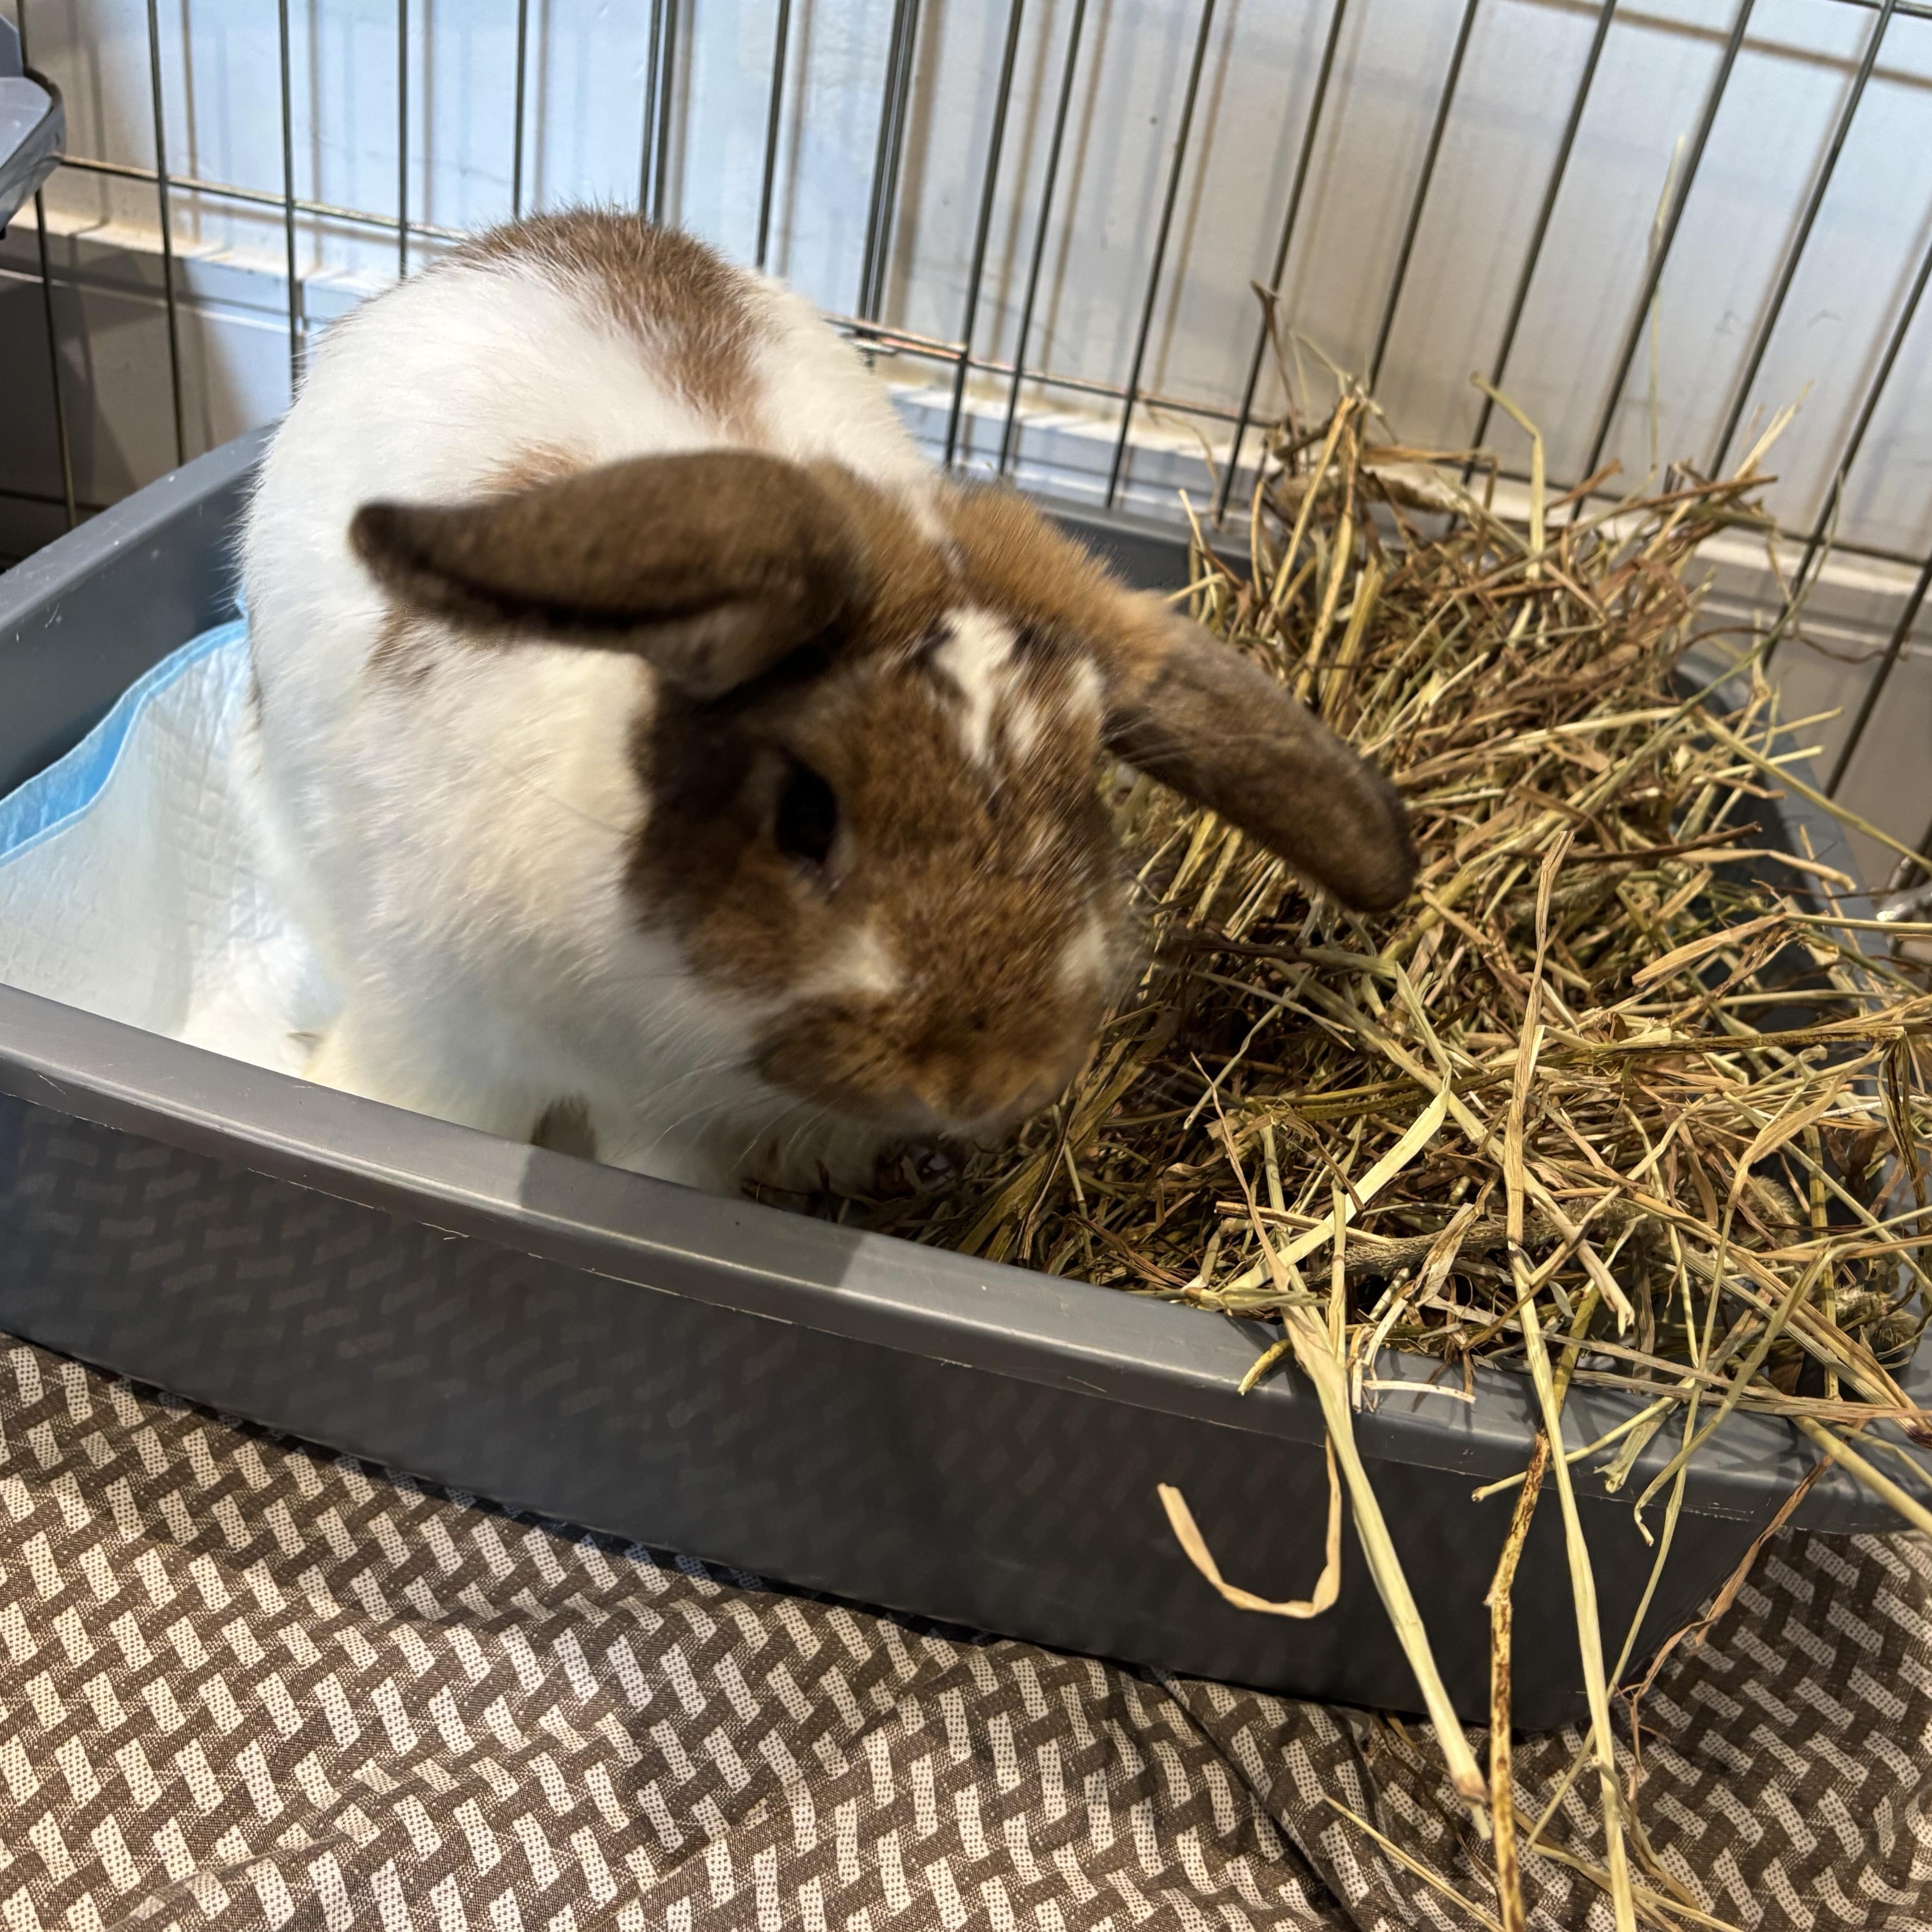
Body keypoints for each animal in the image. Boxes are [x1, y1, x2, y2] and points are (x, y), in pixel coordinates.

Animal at [240, 210, 1416, 1195]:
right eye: (804, 814)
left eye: (1083, 802)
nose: (980, 1077)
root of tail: (506, 240)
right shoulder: (443, 1039)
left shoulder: (675, 1132)